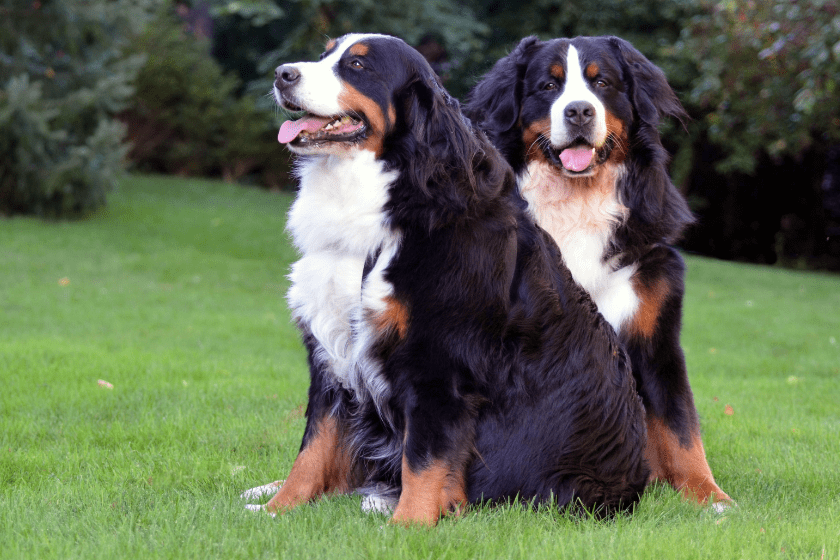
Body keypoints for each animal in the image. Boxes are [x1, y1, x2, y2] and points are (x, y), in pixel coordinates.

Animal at [243, 34, 648, 524]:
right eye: (324, 53)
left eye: (357, 65)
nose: (283, 74)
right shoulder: (332, 355)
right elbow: (313, 450)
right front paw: (276, 510)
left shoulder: (440, 362)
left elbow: (425, 459)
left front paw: (410, 524)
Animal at [466, 34, 736, 508]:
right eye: (547, 86)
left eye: (602, 82)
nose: (579, 111)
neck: (579, 204)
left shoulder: (655, 336)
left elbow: (681, 428)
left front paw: (711, 497)